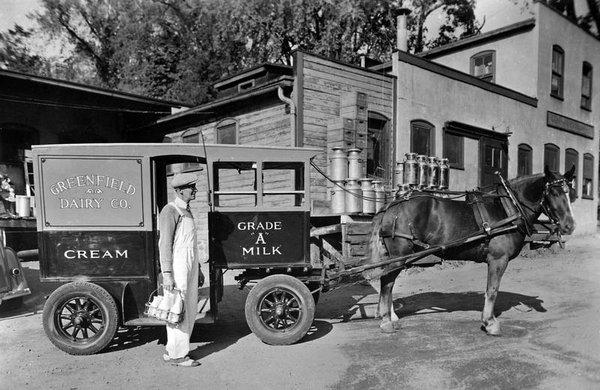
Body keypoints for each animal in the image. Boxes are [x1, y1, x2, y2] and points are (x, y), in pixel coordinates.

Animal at [364, 165, 576, 336]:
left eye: (570, 193)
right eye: (553, 193)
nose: (570, 226)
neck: (508, 207)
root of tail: (392, 205)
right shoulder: (498, 259)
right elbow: (492, 290)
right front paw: (489, 323)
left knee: (388, 282)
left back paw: (389, 315)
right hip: (400, 255)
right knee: (387, 282)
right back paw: (386, 321)